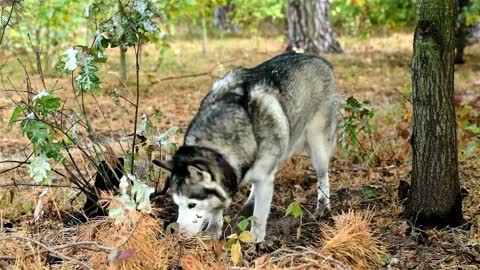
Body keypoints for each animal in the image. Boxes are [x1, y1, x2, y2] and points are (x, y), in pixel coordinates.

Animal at [154, 52, 338, 243]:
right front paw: (213, 230)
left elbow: (259, 218)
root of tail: (318, 58)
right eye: (177, 204)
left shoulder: (264, 180)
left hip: (318, 148)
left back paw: (323, 206)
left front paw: (254, 243)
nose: (177, 234)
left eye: (192, 205)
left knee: (322, 176)